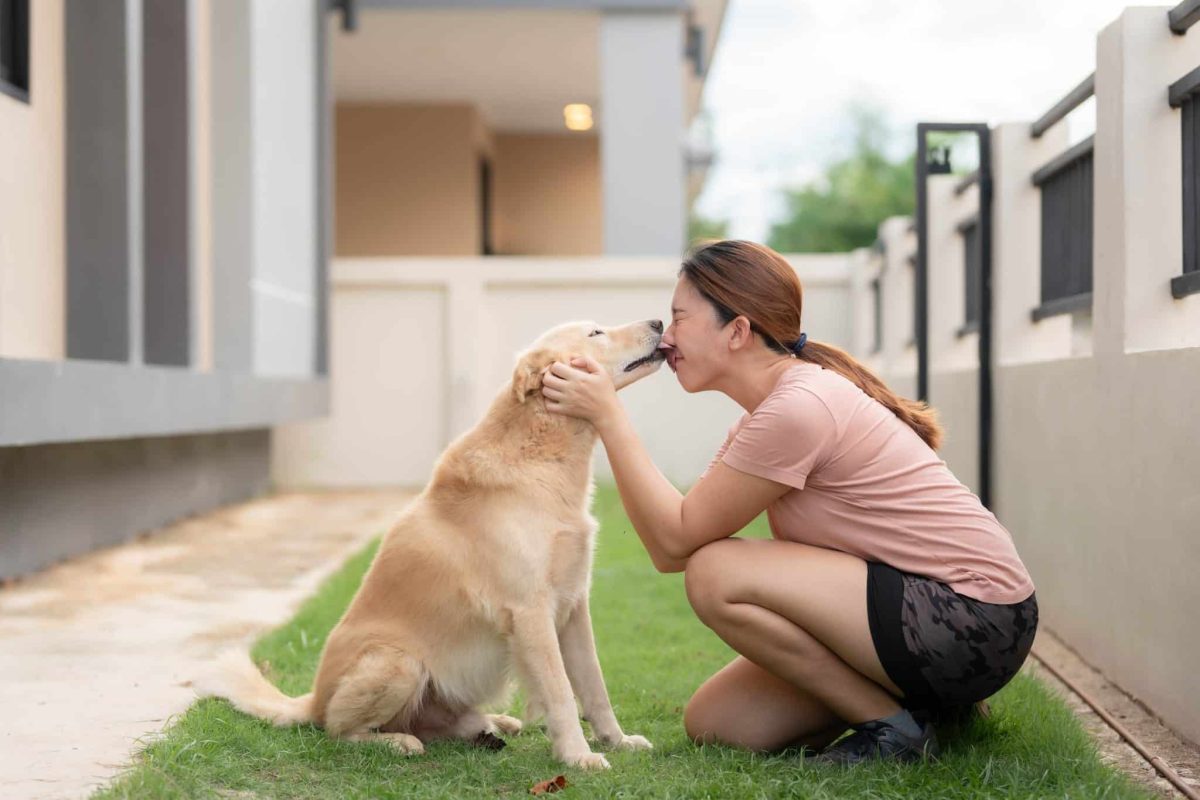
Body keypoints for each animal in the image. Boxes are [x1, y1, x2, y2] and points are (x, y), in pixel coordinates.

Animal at [196, 316, 667, 767]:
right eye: (596, 332)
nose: (659, 322)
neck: (541, 457)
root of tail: (311, 700)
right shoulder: (531, 611)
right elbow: (561, 693)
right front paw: (578, 756)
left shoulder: (573, 607)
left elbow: (594, 686)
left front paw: (618, 741)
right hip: (399, 662)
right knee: (338, 730)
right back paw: (398, 742)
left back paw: (493, 725)